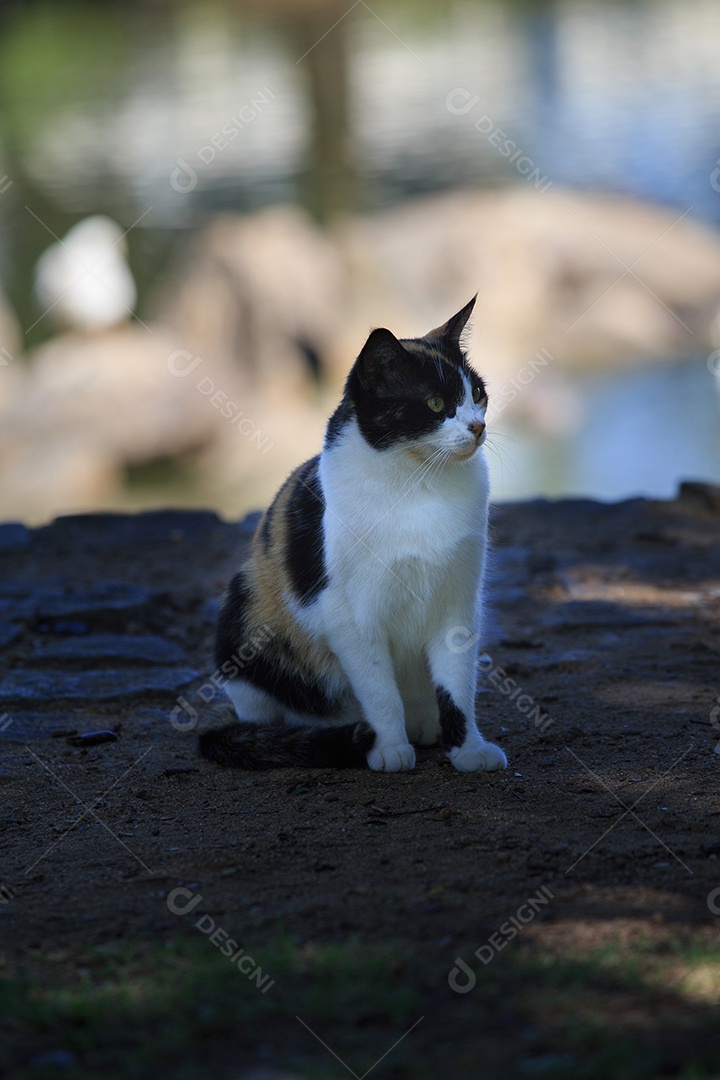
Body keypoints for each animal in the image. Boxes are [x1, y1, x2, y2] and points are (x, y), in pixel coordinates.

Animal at [199, 295, 509, 768]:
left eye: (477, 394)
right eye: (435, 404)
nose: (478, 426)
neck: (420, 483)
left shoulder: (459, 605)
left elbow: (458, 687)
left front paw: (469, 750)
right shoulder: (349, 617)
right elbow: (380, 692)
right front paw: (390, 748)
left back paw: (426, 726)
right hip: (244, 606)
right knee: (269, 717)